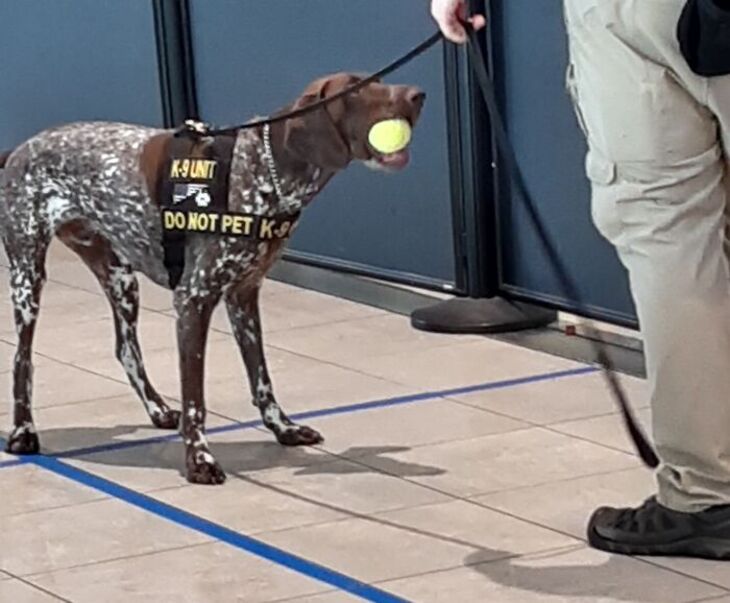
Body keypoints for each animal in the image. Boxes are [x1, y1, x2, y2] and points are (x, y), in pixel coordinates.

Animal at [0, 72, 424, 486]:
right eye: (359, 89)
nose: (418, 95)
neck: (266, 167)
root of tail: (20, 148)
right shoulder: (194, 299)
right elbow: (195, 400)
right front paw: (199, 459)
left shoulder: (243, 295)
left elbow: (261, 378)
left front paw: (283, 428)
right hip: (28, 277)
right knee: (23, 360)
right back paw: (23, 432)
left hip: (121, 278)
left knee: (126, 349)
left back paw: (157, 409)